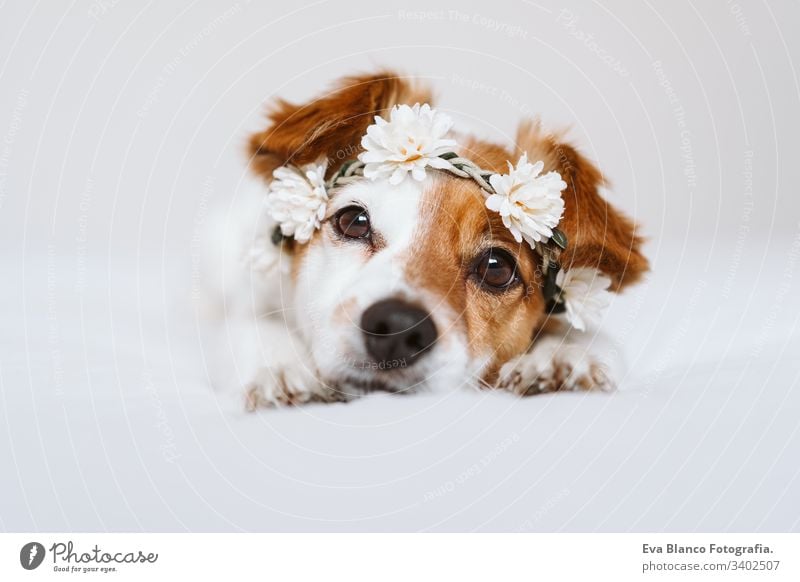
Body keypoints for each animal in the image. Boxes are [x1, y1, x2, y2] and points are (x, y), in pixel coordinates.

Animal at [203, 70, 648, 408]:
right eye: (354, 221)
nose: (396, 329)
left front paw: (560, 355)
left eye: (497, 267)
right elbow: (251, 326)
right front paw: (282, 366)